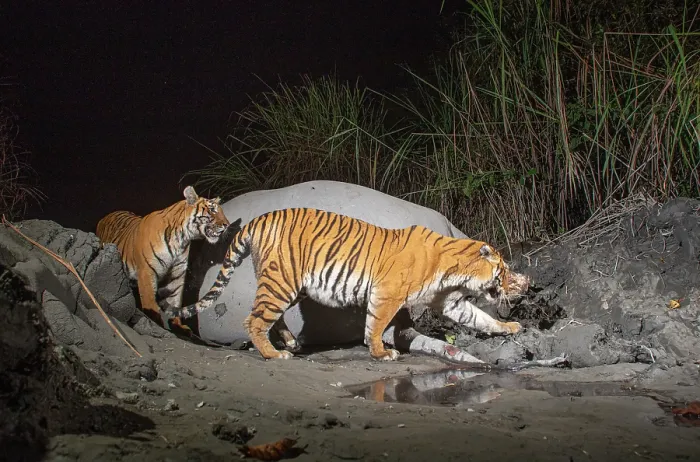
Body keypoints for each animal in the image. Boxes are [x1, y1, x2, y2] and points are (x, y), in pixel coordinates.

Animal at [96, 185, 230, 332]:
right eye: (212, 210)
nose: (227, 224)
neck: (181, 238)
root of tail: (105, 216)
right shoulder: (147, 272)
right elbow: (150, 301)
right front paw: (156, 322)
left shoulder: (176, 275)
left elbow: (175, 300)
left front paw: (178, 326)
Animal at [164, 207, 528, 361]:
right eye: (503, 270)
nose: (517, 283)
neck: (454, 270)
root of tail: (259, 219)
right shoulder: (386, 293)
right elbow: (376, 325)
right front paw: (381, 353)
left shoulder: (449, 301)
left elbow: (480, 318)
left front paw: (510, 327)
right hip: (281, 281)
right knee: (253, 320)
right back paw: (274, 354)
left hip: (286, 285)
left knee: (270, 317)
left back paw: (290, 343)